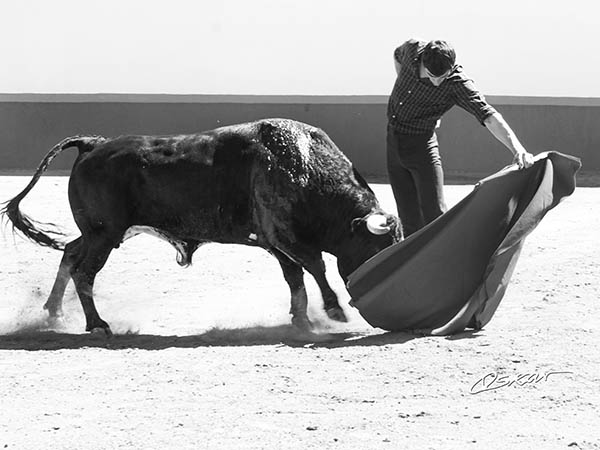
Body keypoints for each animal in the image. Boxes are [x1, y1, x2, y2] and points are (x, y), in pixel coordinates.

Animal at [3, 118, 404, 336]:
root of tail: (93, 143)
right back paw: (98, 324)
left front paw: (302, 320)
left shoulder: (276, 243)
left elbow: (296, 279)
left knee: (70, 254)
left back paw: (54, 313)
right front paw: (334, 311)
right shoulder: (284, 235)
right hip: (105, 234)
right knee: (84, 272)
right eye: (377, 247)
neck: (304, 165)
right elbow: (316, 267)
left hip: (100, 233)